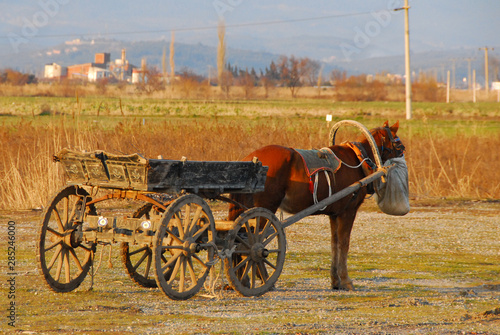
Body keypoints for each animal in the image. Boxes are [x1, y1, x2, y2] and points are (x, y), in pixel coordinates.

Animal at [229, 121, 404, 292]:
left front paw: (335, 280)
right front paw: (346, 280)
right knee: (252, 243)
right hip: (265, 209)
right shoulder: (348, 212)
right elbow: (344, 244)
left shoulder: (334, 214)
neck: (358, 158)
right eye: (398, 143)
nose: (403, 155)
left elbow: (334, 244)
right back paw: (262, 278)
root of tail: (251, 158)